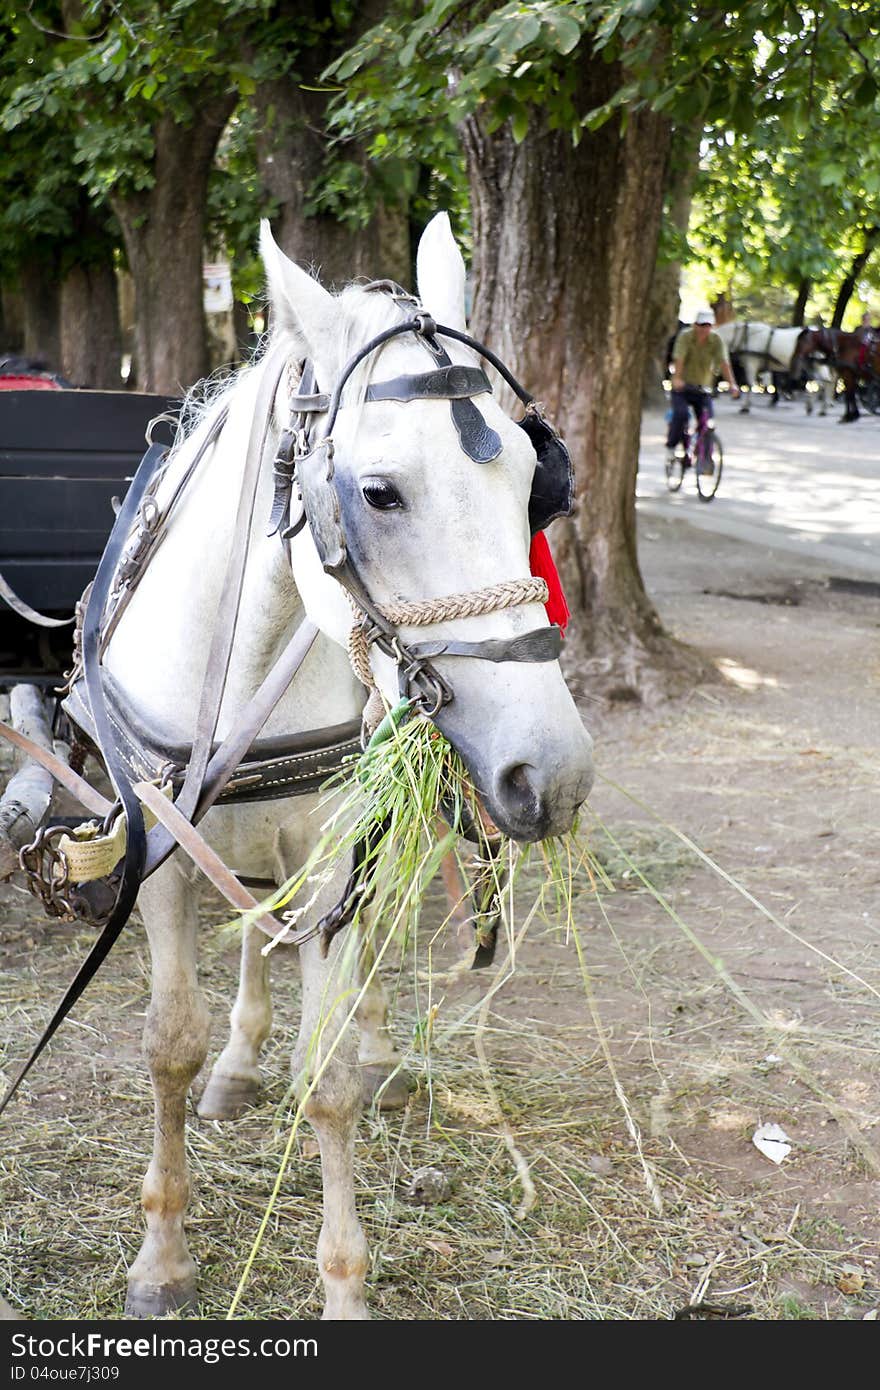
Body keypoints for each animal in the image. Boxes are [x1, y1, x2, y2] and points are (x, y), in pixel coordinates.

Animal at [58, 211, 595, 1317]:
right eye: (377, 493)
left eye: (535, 485)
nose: (554, 775)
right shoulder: (158, 854)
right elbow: (168, 1045)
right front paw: (163, 1252)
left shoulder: (343, 850)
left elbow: (330, 1073)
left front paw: (344, 1279)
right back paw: (238, 1060)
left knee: (372, 945)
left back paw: (379, 1044)